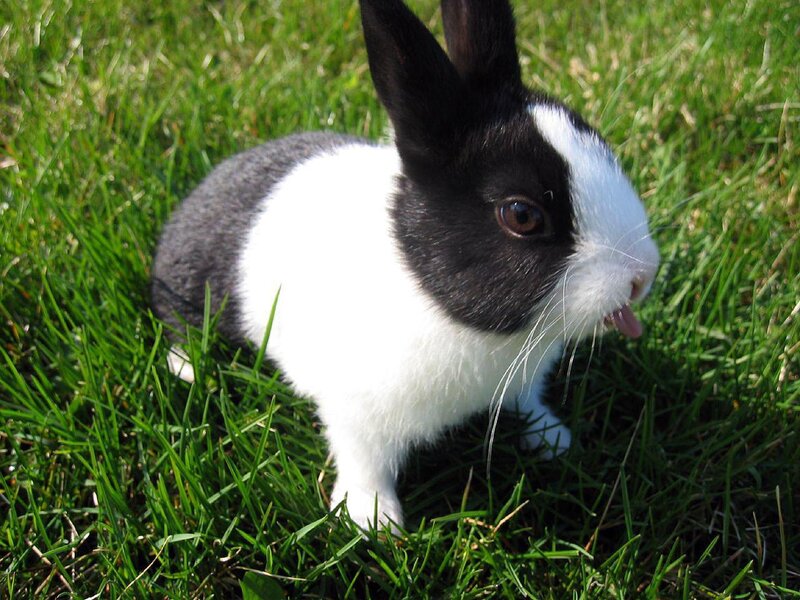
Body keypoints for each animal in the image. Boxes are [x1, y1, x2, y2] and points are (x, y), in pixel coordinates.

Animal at [151, 0, 660, 531]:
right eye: (521, 215)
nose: (642, 277)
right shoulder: (356, 413)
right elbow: (363, 460)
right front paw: (373, 521)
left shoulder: (522, 379)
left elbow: (527, 402)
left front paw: (552, 439)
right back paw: (191, 372)